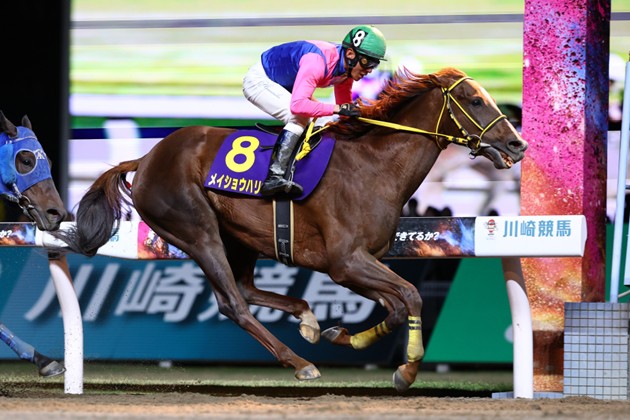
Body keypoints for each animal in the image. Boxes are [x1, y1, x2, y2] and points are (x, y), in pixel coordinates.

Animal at [54, 67, 528, 392]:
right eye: (474, 99)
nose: (517, 143)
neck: (374, 167)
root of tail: (147, 157)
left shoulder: (361, 263)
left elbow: (395, 306)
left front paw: (342, 335)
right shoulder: (345, 261)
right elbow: (410, 296)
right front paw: (407, 369)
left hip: (239, 238)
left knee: (245, 290)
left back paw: (308, 321)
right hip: (197, 231)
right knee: (233, 303)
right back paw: (299, 362)